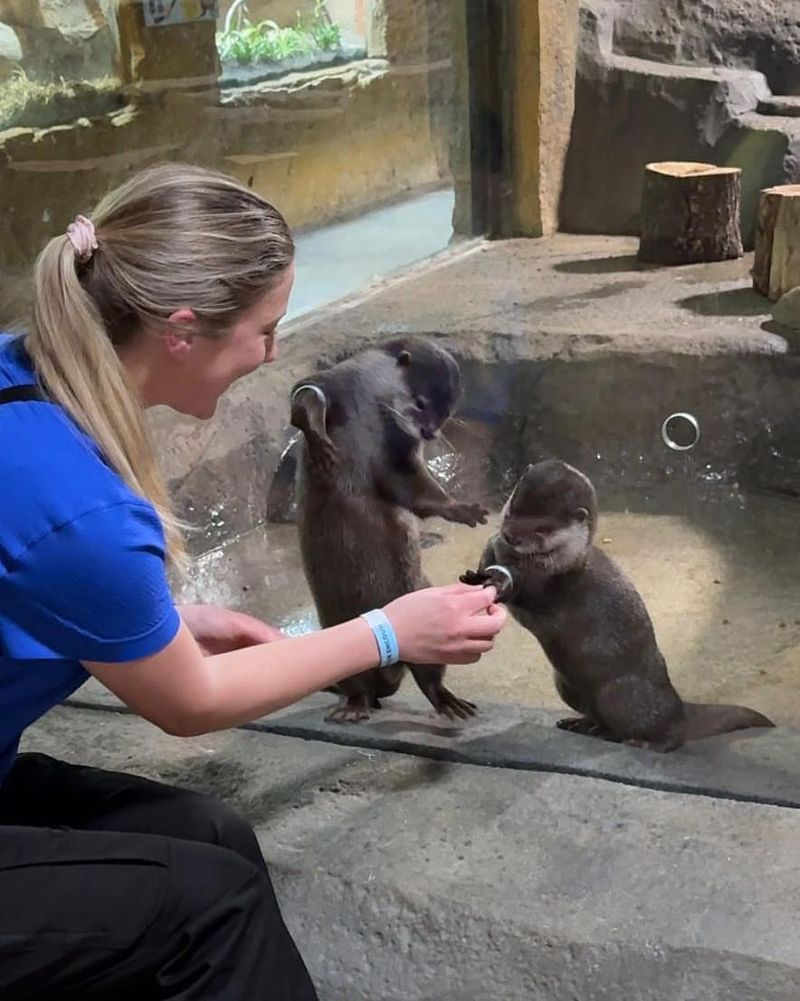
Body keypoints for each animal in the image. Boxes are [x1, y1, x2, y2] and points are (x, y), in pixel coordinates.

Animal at [290, 336, 488, 723]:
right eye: (422, 403)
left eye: (446, 413)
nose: (430, 432)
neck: (370, 404)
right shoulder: (336, 381)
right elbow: (302, 396)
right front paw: (318, 441)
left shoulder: (399, 451)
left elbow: (413, 488)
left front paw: (463, 509)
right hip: (336, 631)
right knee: (357, 685)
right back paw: (352, 708)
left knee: (428, 677)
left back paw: (449, 702)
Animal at [460, 459, 774, 752]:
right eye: (512, 509)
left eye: (542, 528)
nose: (511, 535)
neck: (559, 562)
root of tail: (678, 705)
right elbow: (487, 555)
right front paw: (476, 574)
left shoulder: (550, 583)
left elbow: (525, 592)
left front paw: (499, 582)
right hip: (566, 686)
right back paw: (582, 724)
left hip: (621, 693)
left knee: (669, 734)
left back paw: (645, 742)